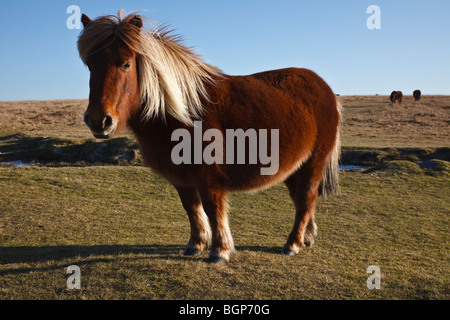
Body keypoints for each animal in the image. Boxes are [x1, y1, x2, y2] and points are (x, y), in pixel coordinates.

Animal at [78, 12, 342, 262]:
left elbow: (212, 208)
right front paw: (195, 245)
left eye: (125, 64)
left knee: (306, 198)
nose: (99, 121)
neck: (182, 112)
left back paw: (293, 244)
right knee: (301, 200)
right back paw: (306, 238)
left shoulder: (208, 177)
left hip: (313, 163)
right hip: (294, 168)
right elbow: (192, 208)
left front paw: (219, 250)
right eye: (89, 65)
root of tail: (325, 88)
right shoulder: (181, 177)